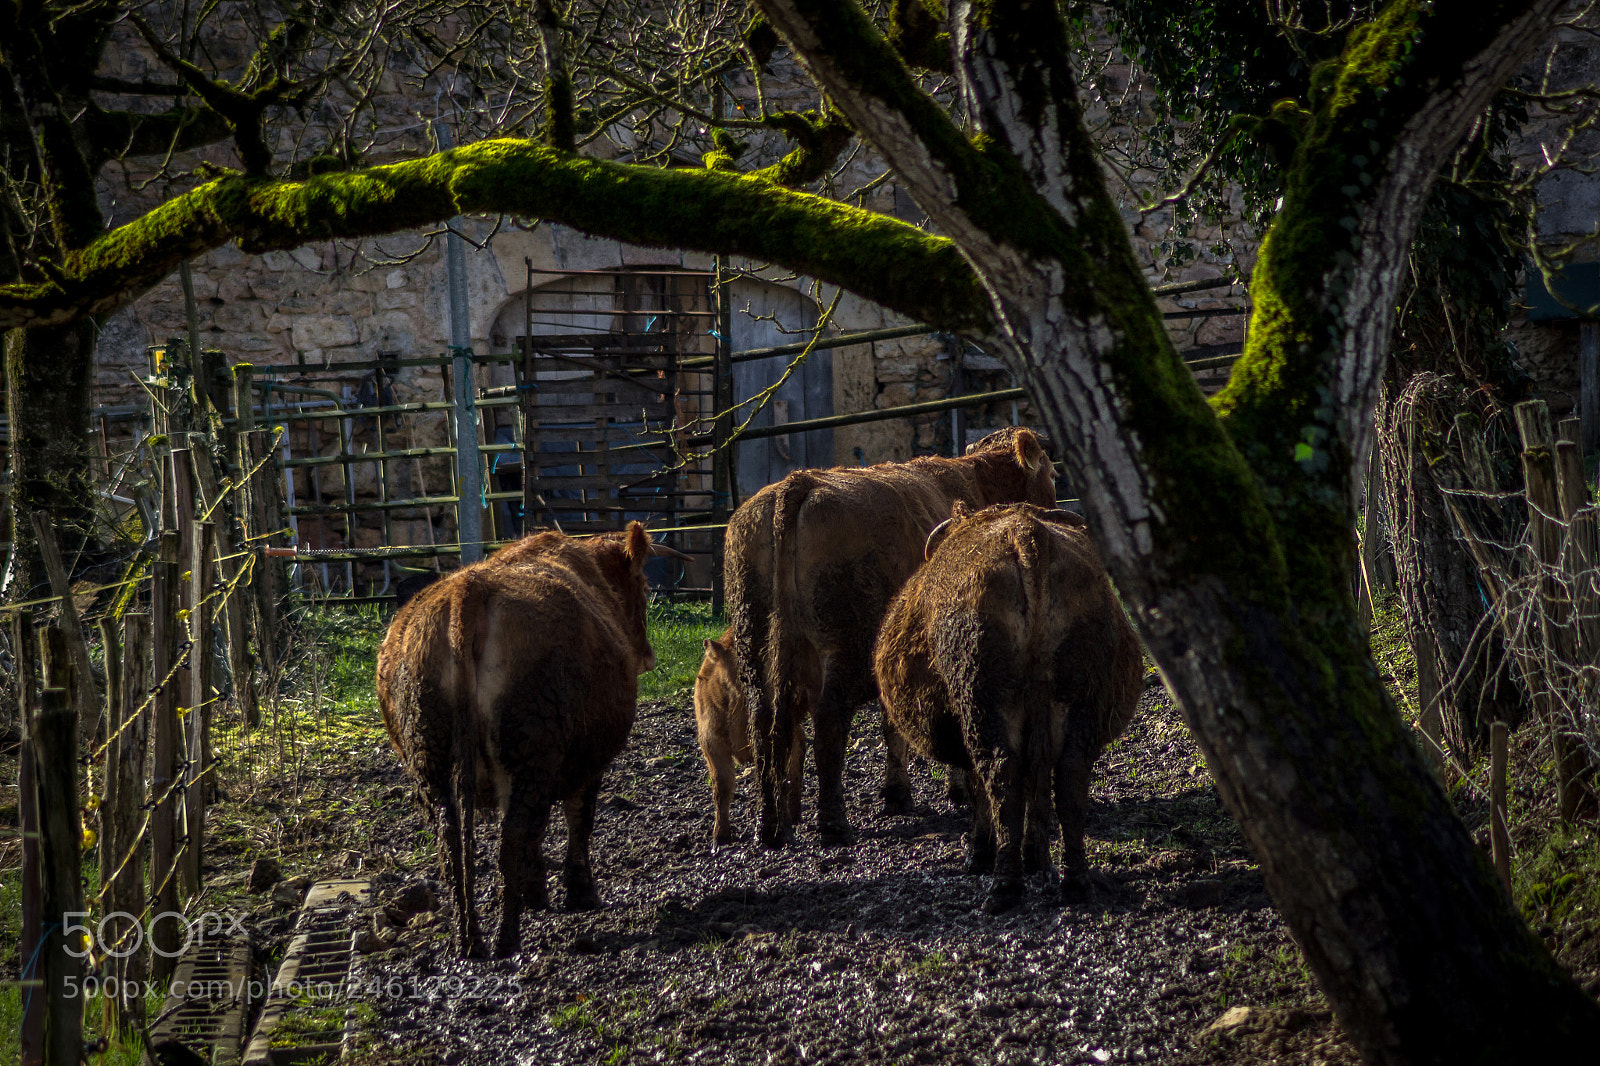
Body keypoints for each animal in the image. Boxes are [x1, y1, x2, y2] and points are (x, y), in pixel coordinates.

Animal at [376, 523, 682, 957]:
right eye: (640, 584)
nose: (648, 655)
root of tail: (468, 592)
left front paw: (537, 891)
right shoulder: (583, 765)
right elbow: (577, 819)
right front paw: (578, 892)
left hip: (430, 754)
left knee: (451, 841)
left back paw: (468, 940)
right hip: (532, 746)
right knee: (514, 835)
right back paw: (506, 938)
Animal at [693, 628, 817, 848]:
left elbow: (778, 781)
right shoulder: (711, 742)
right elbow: (722, 786)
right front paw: (720, 835)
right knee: (801, 742)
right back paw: (794, 812)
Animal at [725, 426, 1057, 848]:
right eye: (1053, 474)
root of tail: (798, 482)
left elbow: (893, 724)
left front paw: (898, 794)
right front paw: (955, 790)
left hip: (753, 642)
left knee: (763, 720)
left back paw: (770, 825)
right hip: (846, 646)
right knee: (829, 721)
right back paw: (833, 824)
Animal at [874, 502, 1143, 913]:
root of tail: (1028, 534)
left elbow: (980, 791)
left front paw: (981, 853)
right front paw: (1037, 857)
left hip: (984, 706)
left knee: (1000, 777)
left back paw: (1004, 883)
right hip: (1075, 705)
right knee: (1068, 780)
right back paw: (1073, 881)